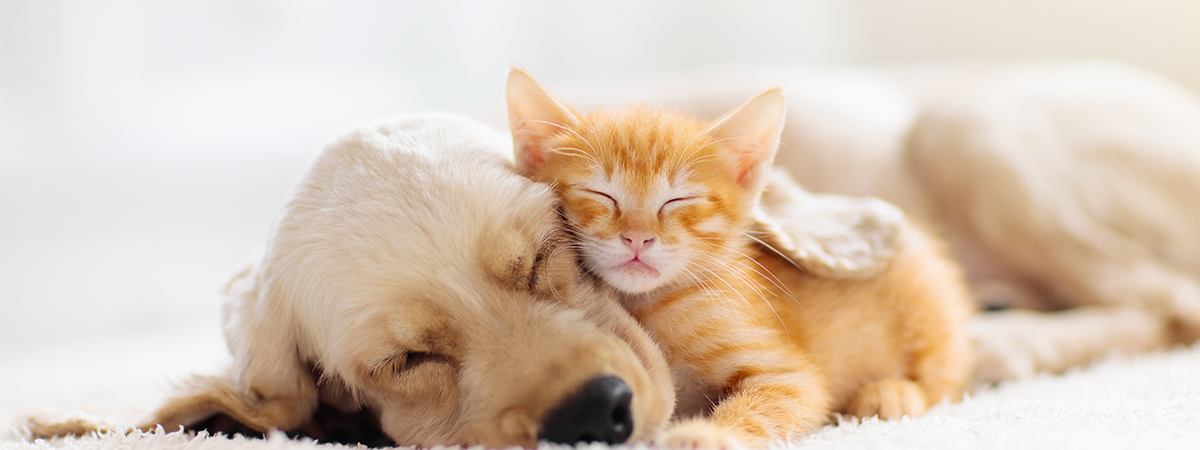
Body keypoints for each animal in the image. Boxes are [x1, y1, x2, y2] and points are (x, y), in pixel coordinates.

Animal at [506, 68, 974, 448]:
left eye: (678, 200)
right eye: (600, 194)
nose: (637, 237)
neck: (648, 305)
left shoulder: (788, 375)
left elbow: (768, 404)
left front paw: (707, 434)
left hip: (926, 300)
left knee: (948, 375)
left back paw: (894, 391)